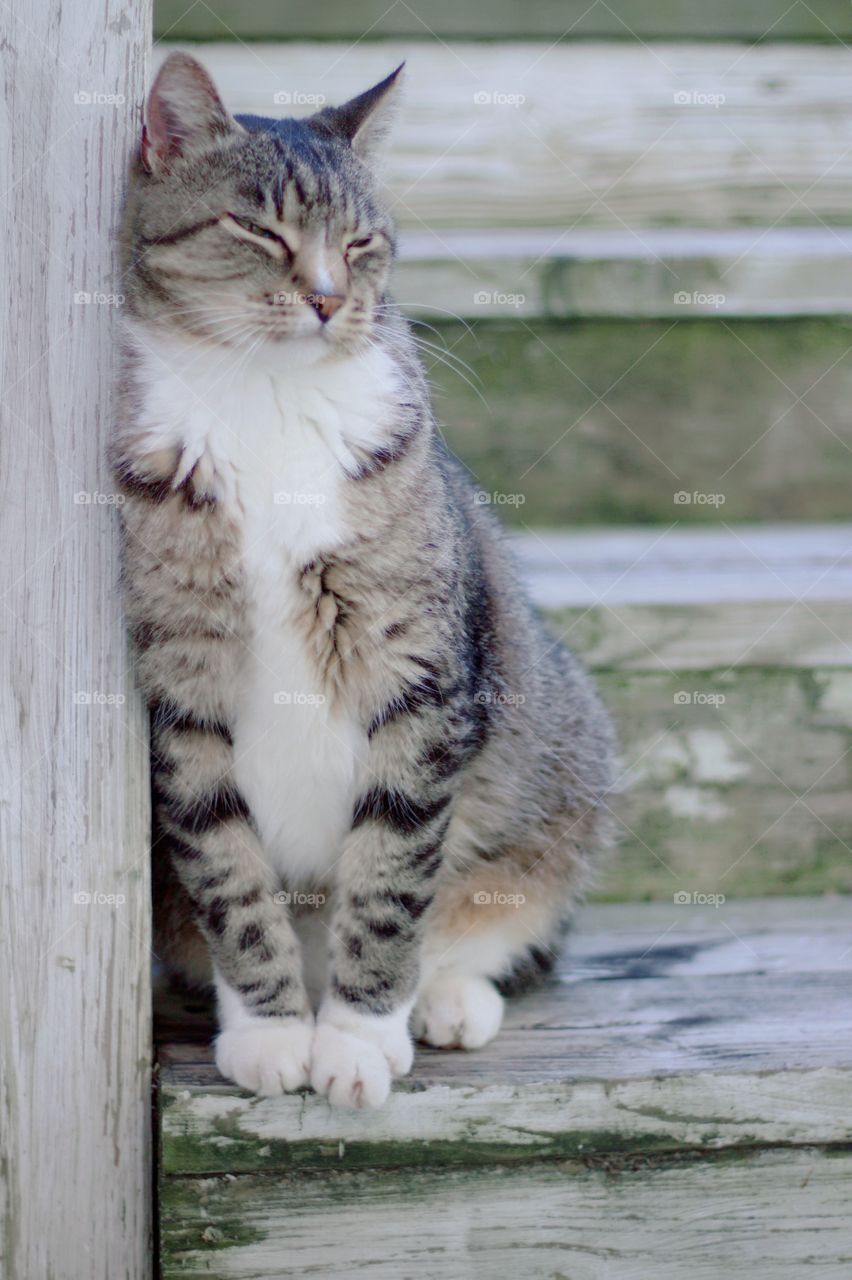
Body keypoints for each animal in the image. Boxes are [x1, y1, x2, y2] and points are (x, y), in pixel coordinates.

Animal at [112, 52, 614, 1111]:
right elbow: (226, 868)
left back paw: (449, 999)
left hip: (567, 776)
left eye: (362, 240)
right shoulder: (180, 688)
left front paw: (354, 1038)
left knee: (497, 914)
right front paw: (270, 1031)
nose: (328, 297)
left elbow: (391, 875)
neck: (264, 398)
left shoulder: (419, 678)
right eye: (260, 229)